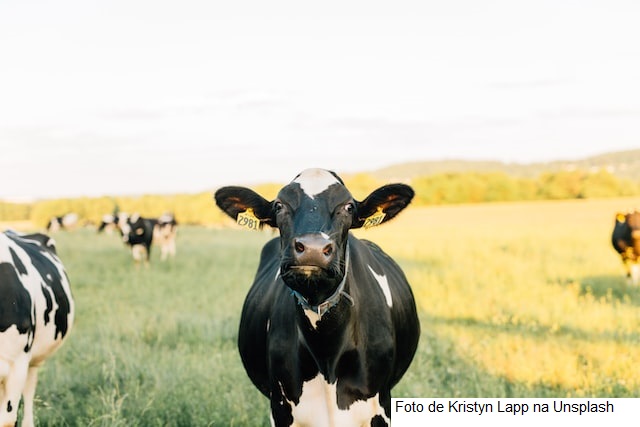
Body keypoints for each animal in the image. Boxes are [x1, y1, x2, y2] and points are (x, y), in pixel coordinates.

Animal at [214, 168, 420, 426]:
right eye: (279, 205)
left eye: (348, 207)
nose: (312, 248)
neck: (326, 353)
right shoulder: (280, 408)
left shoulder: (381, 407)